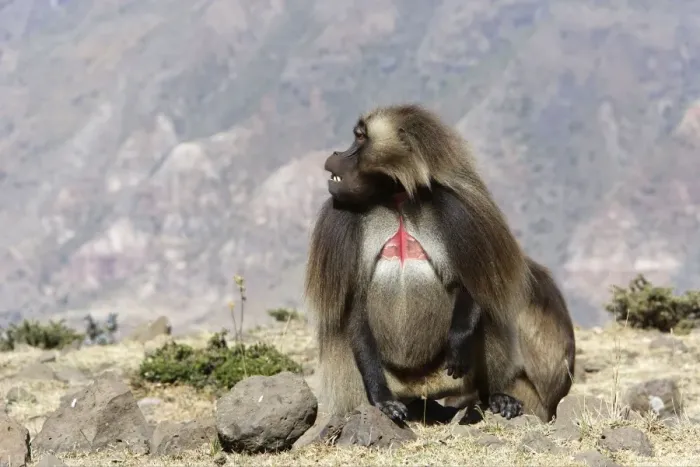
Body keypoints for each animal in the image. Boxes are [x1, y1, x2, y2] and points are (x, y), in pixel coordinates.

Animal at [303, 104, 574, 424]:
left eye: (359, 138)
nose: (336, 154)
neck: (396, 198)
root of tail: (421, 388)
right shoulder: (339, 217)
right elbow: (355, 305)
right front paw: (382, 401)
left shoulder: (457, 211)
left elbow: (472, 285)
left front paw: (458, 341)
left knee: (488, 314)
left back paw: (496, 397)